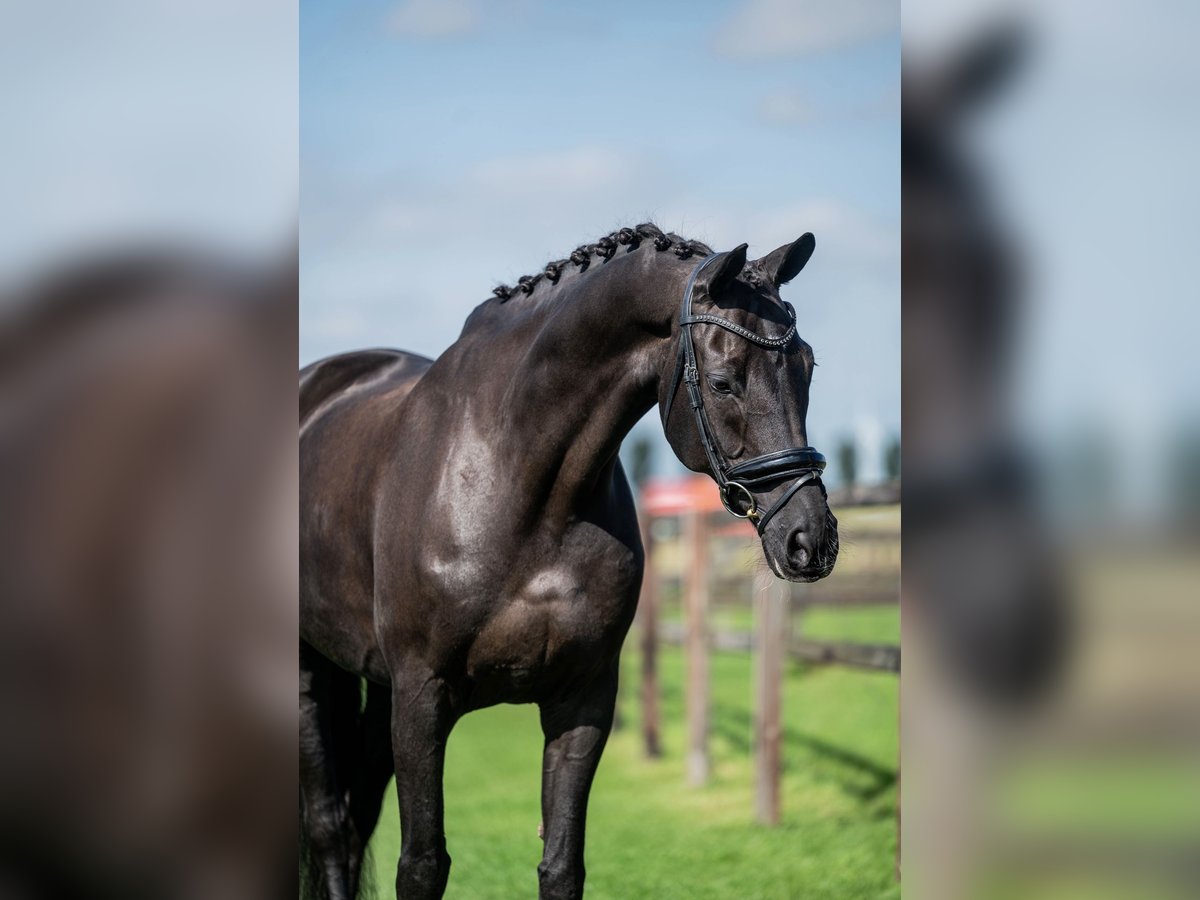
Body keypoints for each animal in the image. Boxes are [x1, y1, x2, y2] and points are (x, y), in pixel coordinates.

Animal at [299, 222, 838, 900]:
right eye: (722, 381)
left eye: (808, 367)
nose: (810, 540)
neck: (519, 481)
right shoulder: (422, 697)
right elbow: (421, 865)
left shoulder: (582, 699)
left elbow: (561, 866)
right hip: (316, 673)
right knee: (329, 826)